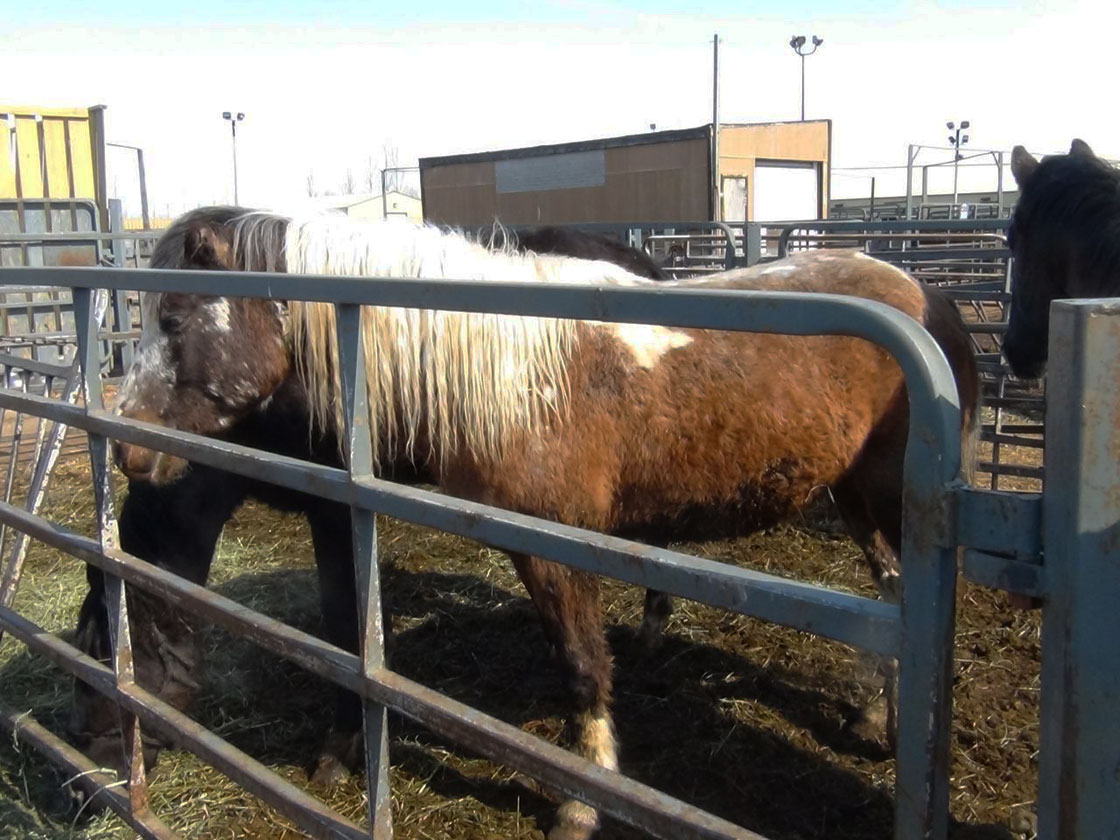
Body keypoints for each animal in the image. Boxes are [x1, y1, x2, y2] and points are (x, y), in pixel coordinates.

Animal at [73, 207, 979, 840]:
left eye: (175, 320)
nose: (131, 448)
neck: (505, 366)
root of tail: (928, 295)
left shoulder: (552, 548)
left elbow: (581, 667)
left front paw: (581, 806)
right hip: (855, 499)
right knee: (890, 597)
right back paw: (873, 724)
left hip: (883, 498)